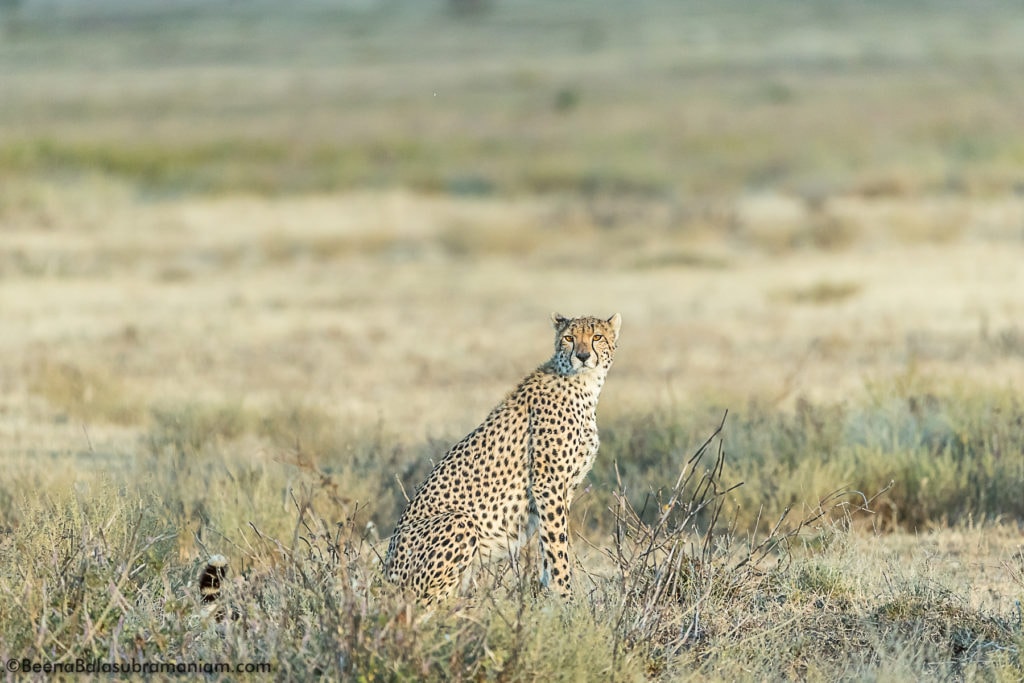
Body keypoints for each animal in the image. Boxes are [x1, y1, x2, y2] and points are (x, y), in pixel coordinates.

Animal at [387, 311, 618, 602]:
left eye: (597, 336)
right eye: (569, 338)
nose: (583, 356)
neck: (584, 384)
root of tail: (385, 577)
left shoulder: (562, 489)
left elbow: (549, 543)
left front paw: (547, 594)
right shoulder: (548, 484)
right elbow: (557, 544)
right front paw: (565, 596)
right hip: (459, 522)